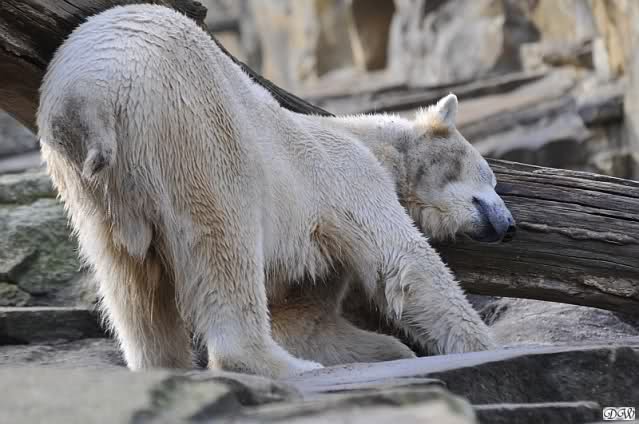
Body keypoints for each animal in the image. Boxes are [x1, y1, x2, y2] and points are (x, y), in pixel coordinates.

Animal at [37, 4, 515, 378]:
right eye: (490, 177)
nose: (509, 224)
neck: (366, 139)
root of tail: (87, 94)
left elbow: (303, 318)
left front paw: (390, 350)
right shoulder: (349, 175)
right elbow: (405, 264)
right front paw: (486, 346)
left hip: (89, 186)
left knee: (128, 278)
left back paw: (163, 365)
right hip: (189, 120)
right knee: (222, 236)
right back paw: (273, 364)